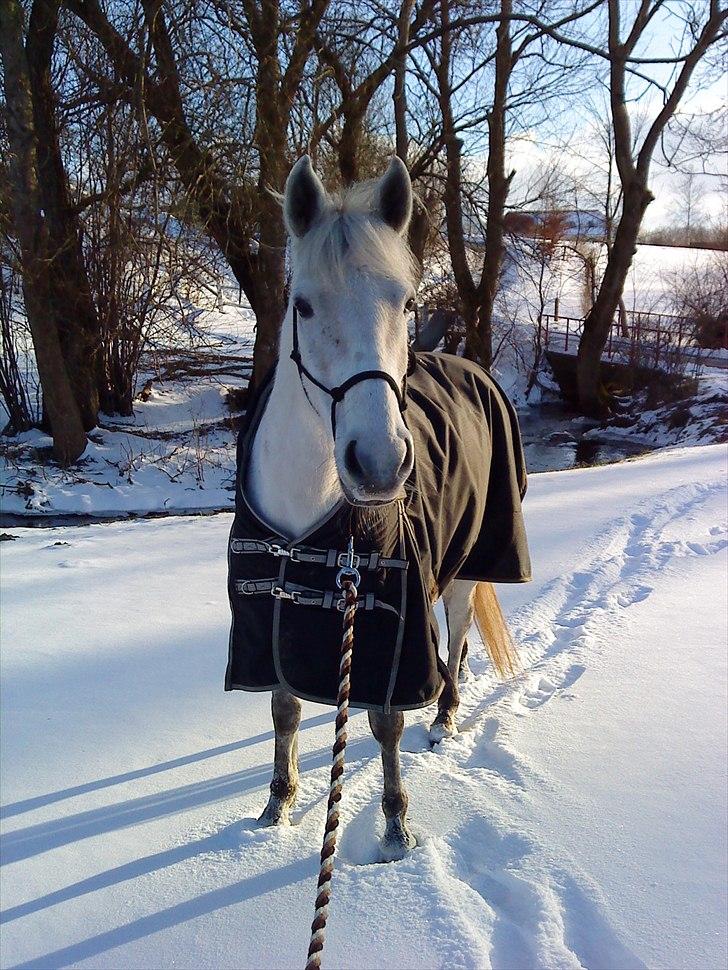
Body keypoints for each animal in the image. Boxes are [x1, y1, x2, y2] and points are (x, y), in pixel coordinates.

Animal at [247, 155, 520, 860]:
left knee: (457, 633)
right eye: (304, 304)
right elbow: (284, 708)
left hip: (467, 564)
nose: (378, 463)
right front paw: (277, 803)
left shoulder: (390, 624)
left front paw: (396, 825)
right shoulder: (276, 614)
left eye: (405, 302)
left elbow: (386, 720)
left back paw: (446, 713)